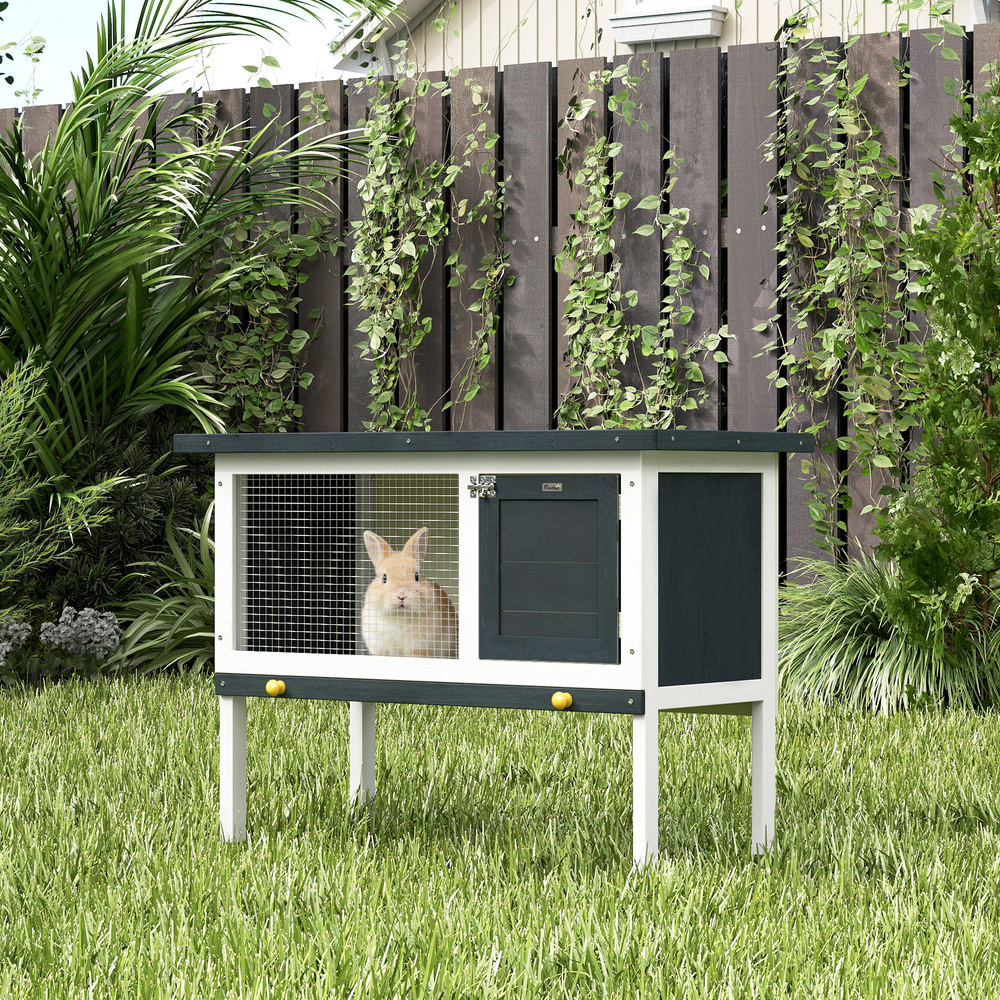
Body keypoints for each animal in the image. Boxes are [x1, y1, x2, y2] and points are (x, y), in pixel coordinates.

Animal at [360, 527, 458, 658]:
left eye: (416, 576)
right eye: (384, 578)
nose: (402, 596)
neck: (400, 615)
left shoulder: (418, 649)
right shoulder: (381, 648)